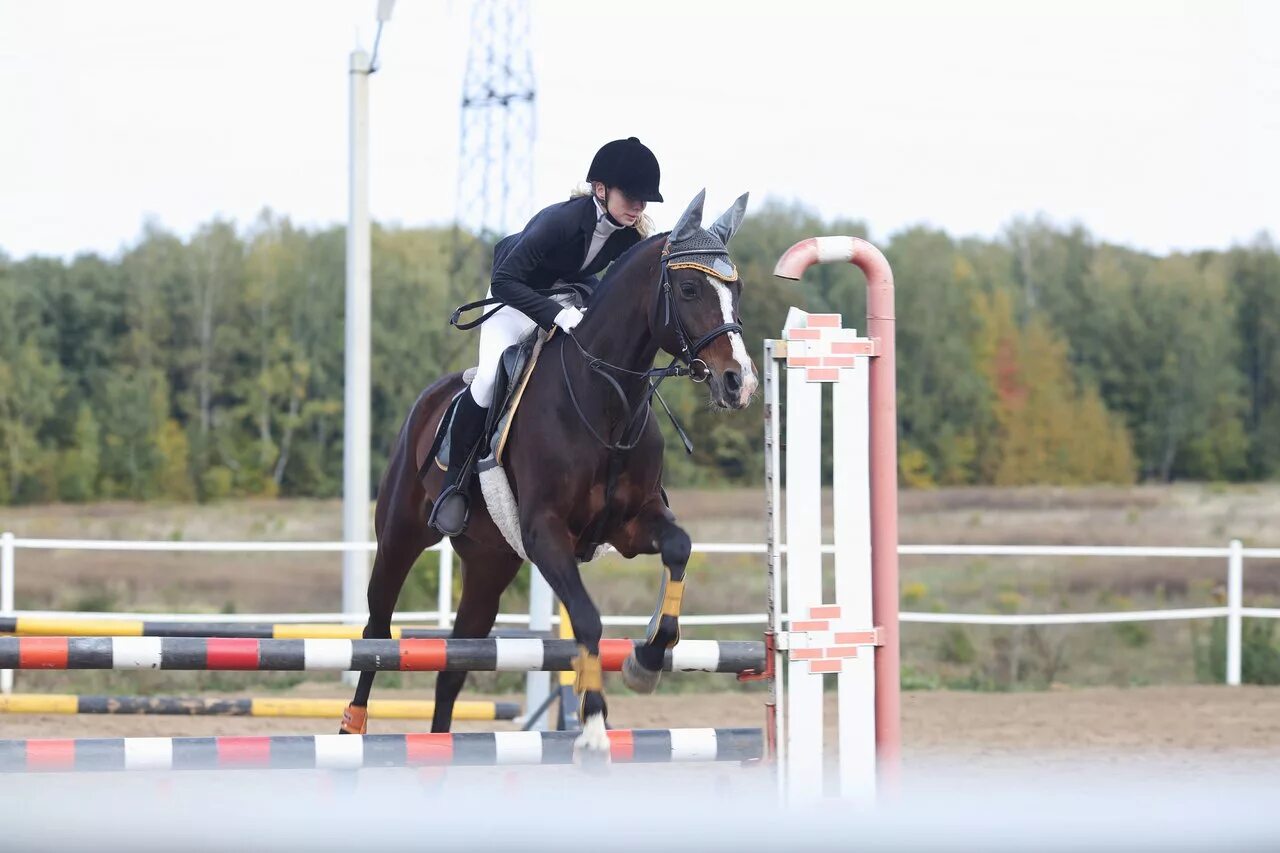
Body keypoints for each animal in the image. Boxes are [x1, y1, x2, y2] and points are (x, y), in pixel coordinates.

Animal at [343, 190, 757, 753]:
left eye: (736, 289)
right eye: (690, 288)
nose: (740, 383)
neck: (605, 400)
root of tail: (430, 398)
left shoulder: (630, 526)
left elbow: (679, 547)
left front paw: (647, 658)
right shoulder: (546, 534)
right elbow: (586, 619)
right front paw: (595, 730)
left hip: (490, 565)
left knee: (454, 665)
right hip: (400, 535)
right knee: (377, 634)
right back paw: (352, 725)